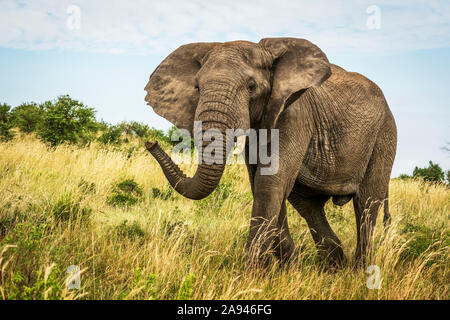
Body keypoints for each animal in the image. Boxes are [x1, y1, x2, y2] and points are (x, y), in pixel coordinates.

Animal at [144, 38, 398, 270]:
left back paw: (359, 273)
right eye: (197, 87)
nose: (150, 143)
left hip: (385, 134)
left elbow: (270, 183)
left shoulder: (295, 114)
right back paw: (332, 268)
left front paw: (252, 277)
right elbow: (264, 186)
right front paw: (289, 268)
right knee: (308, 206)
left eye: (251, 87)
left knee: (367, 203)